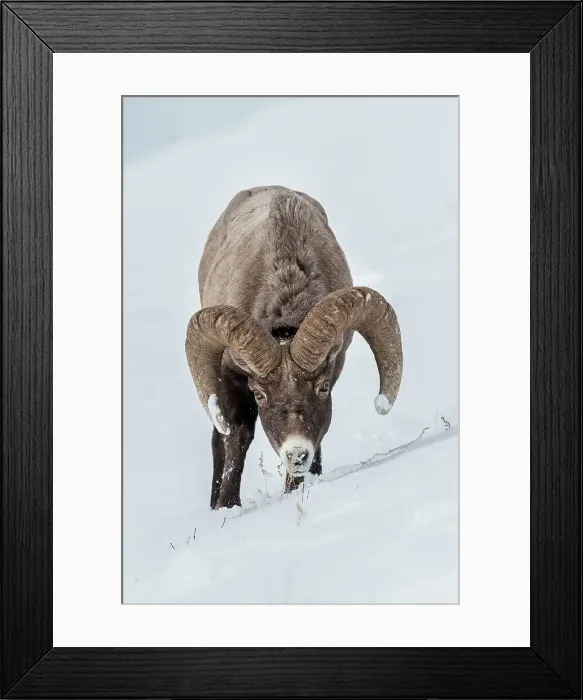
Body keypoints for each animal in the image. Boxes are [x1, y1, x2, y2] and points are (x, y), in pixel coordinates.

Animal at [186, 186, 403, 510]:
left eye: (323, 386)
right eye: (259, 394)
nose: (296, 454)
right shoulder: (232, 380)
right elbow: (237, 436)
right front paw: (227, 506)